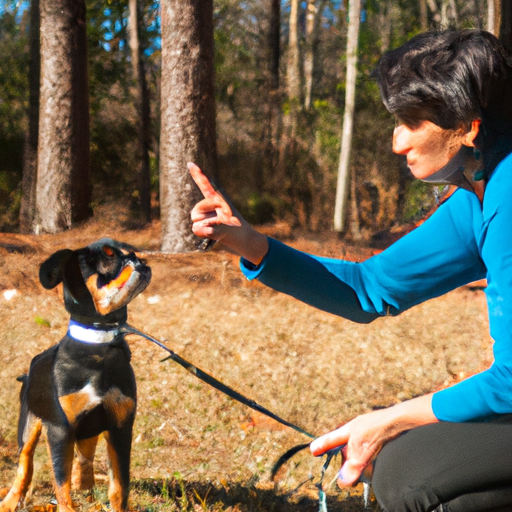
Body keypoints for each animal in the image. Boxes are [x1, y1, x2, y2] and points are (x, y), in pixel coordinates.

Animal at [0, 238, 151, 512]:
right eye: (109, 256)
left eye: (130, 252)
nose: (138, 259)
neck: (98, 345)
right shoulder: (60, 428)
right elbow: (62, 487)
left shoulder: (120, 425)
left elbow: (119, 487)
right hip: (29, 423)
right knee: (25, 464)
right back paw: (10, 501)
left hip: (90, 429)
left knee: (85, 457)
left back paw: (85, 483)